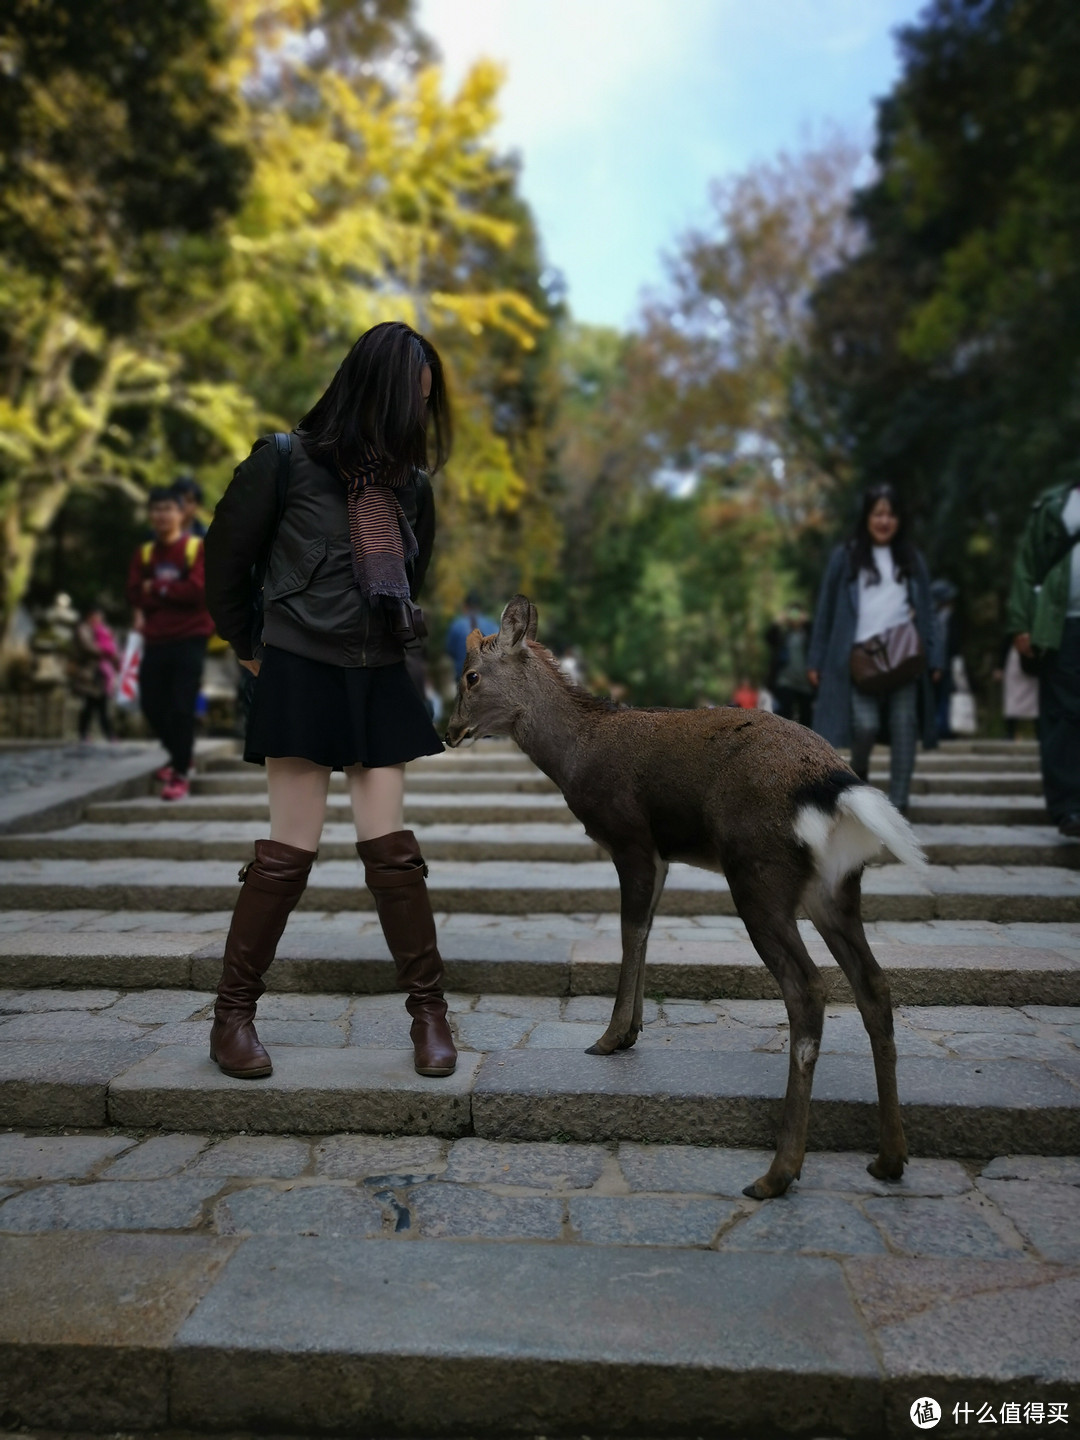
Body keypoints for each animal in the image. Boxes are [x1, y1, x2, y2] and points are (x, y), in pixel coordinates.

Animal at [449, 590, 933, 1198]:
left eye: (470, 675)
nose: (448, 731)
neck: (578, 755)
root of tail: (833, 787)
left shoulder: (630, 836)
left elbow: (630, 929)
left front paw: (609, 1037)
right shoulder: (661, 855)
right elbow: (645, 930)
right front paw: (631, 1031)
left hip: (757, 873)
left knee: (809, 990)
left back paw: (777, 1173)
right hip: (836, 888)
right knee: (874, 985)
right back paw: (889, 1158)